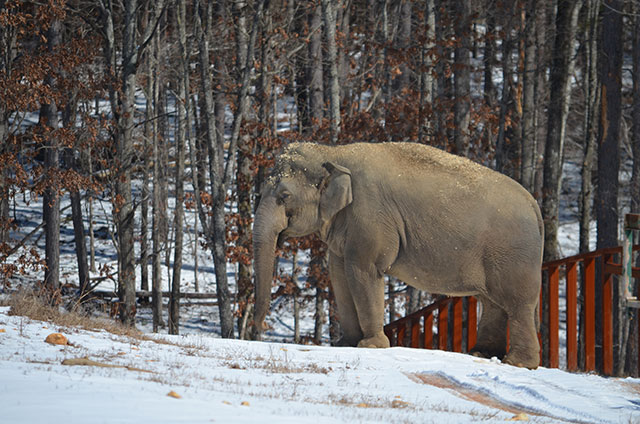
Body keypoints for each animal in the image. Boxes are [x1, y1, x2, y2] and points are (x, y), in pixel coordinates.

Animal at [252, 142, 544, 368]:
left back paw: (519, 363)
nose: (256, 331)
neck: (334, 152)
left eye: (284, 196)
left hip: (514, 253)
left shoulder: (370, 217)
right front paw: (346, 344)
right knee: (492, 302)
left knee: (517, 303)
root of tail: (534, 203)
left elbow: (363, 270)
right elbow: (339, 276)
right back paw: (481, 353)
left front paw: (371, 346)